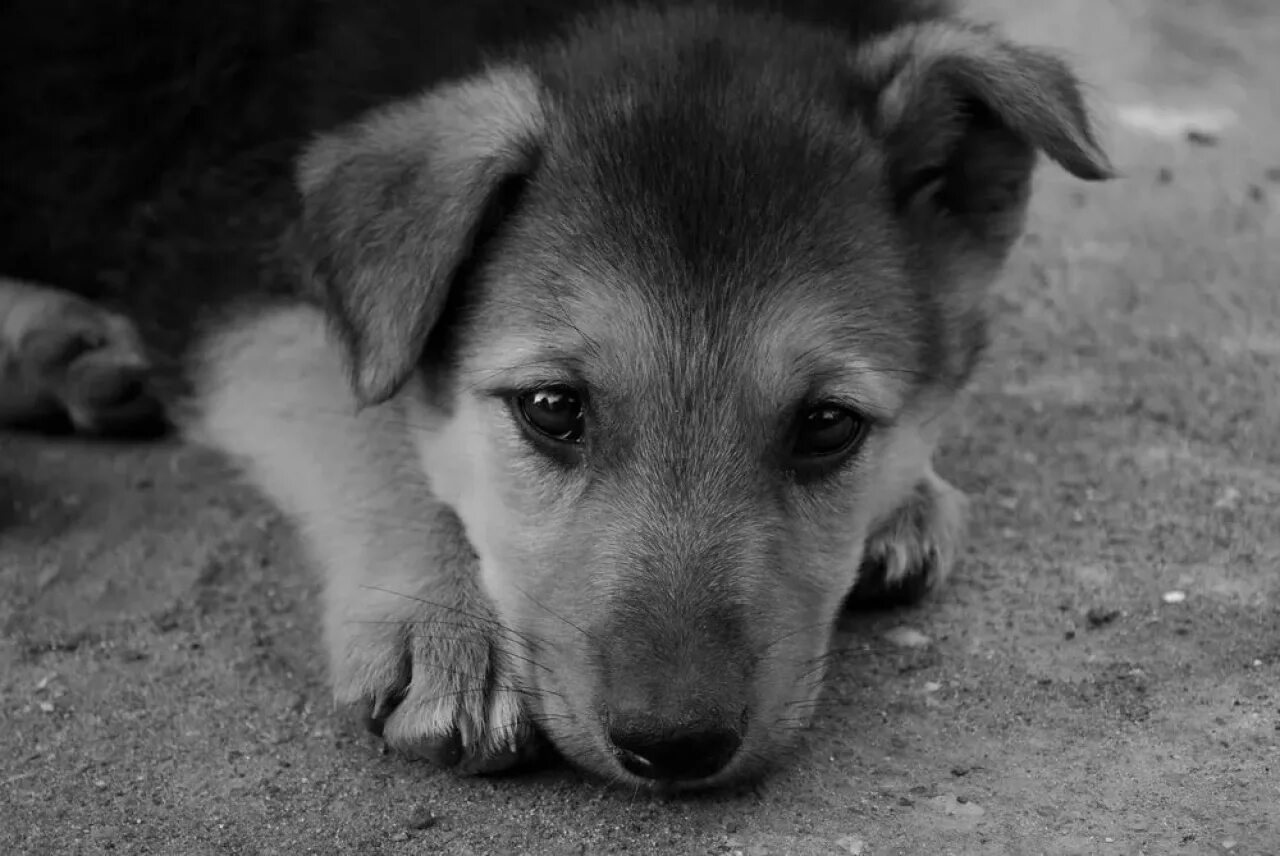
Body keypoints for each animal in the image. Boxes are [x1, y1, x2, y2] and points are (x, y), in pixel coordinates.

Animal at [0, 0, 1111, 788]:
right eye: (550, 409)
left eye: (828, 427)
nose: (674, 745)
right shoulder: (219, 256)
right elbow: (369, 409)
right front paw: (447, 619)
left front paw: (910, 490)